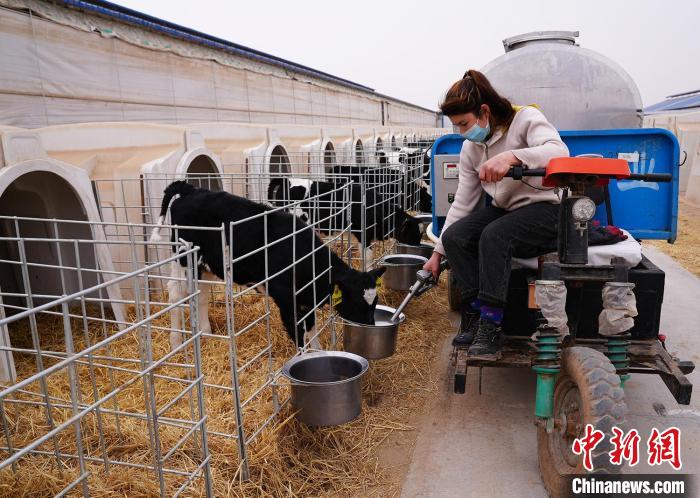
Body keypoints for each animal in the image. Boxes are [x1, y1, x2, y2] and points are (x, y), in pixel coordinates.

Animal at [150, 180, 386, 350]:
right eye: (357, 303)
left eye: (374, 303)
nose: (370, 327)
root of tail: (190, 189)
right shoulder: (287, 302)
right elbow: (299, 337)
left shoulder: (305, 300)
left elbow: (312, 330)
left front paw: (319, 353)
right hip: (182, 259)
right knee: (175, 295)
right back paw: (176, 342)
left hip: (206, 265)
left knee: (201, 294)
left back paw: (207, 333)